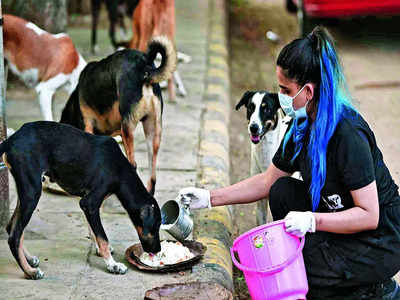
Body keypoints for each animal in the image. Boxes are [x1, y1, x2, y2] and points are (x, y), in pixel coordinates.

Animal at [1, 121, 161, 278]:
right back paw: (30, 272)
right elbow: (102, 237)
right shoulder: (89, 203)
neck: (120, 170)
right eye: (155, 227)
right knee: (14, 236)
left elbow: (94, 231)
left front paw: (99, 250)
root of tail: (11, 140)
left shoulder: (88, 204)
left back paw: (29, 260)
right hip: (32, 192)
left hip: (25, 191)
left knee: (12, 227)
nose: (158, 250)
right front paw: (112, 264)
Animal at [60, 35, 175, 195]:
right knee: (152, 176)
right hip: (152, 131)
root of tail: (144, 67)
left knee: (133, 165)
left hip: (128, 128)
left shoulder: (88, 126)